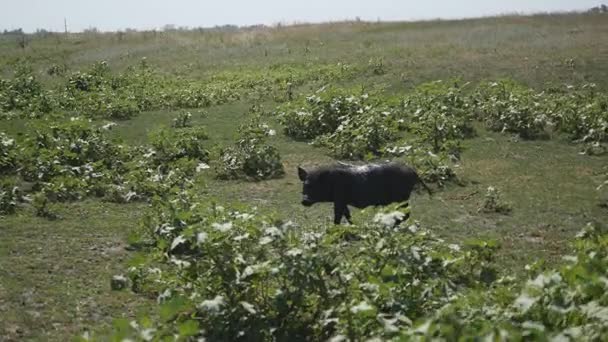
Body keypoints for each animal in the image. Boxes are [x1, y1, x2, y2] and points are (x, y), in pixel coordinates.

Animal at [296, 162, 430, 224]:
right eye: (305, 185)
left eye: (315, 186)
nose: (304, 200)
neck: (331, 182)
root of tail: (413, 171)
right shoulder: (341, 201)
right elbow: (347, 214)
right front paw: (353, 225)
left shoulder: (339, 199)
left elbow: (338, 216)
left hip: (402, 197)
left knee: (406, 212)